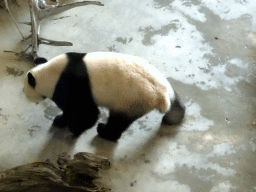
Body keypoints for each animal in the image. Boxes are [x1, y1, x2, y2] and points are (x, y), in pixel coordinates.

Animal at [23, 52, 185, 141]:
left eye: (25, 89)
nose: (25, 94)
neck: (51, 74)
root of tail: (161, 94)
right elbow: (71, 110)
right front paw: (61, 120)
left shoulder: (73, 86)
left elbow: (87, 111)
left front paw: (75, 128)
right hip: (162, 85)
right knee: (176, 104)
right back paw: (173, 118)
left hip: (131, 99)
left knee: (119, 120)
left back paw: (105, 132)